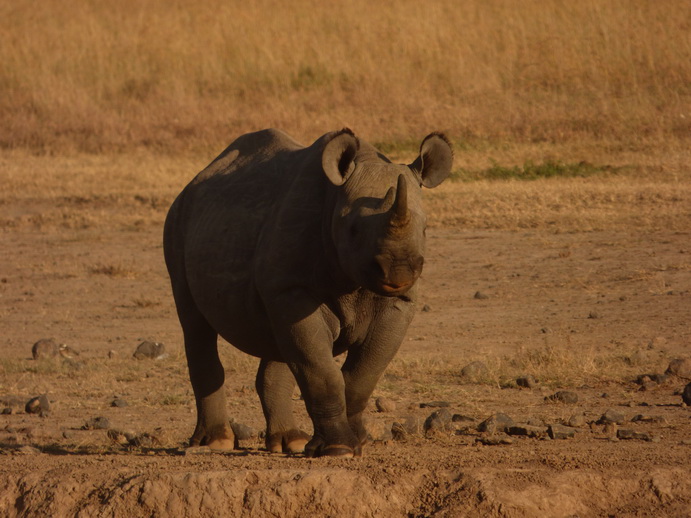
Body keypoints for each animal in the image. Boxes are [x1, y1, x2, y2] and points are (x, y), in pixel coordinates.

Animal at [163, 129, 454, 460]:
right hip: (177, 221)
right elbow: (321, 371)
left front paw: (359, 441)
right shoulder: (294, 289)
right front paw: (339, 450)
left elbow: (363, 373)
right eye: (353, 229)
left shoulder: (398, 301)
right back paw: (214, 443)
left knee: (279, 341)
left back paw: (290, 442)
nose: (399, 270)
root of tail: (196, 179)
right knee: (195, 324)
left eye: (426, 229)